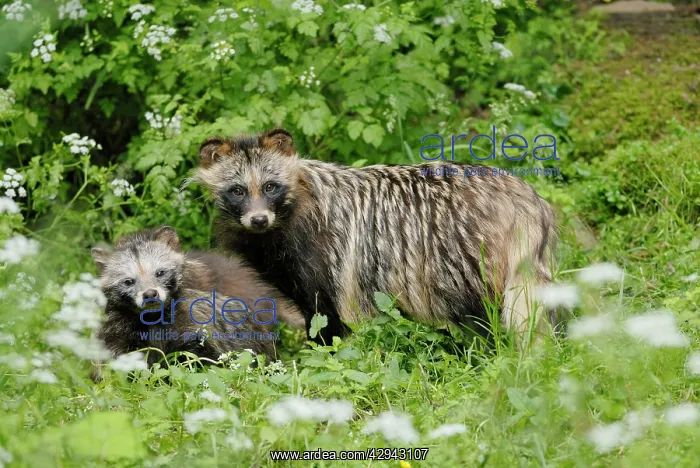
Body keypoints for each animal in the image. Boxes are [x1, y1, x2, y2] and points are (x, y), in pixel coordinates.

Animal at [90, 226, 303, 380]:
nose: (150, 294)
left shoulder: (193, 324)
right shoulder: (118, 331)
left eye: (160, 272)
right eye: (128, 281)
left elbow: (201, 355)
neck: (153, 317)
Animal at [194, 128, 558, 344]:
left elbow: (327, 321)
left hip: (466, 256)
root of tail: (523, 196)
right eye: (237, 190)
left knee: (485, 313)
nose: (258, 219)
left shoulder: (324, 257)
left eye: (271, 186)